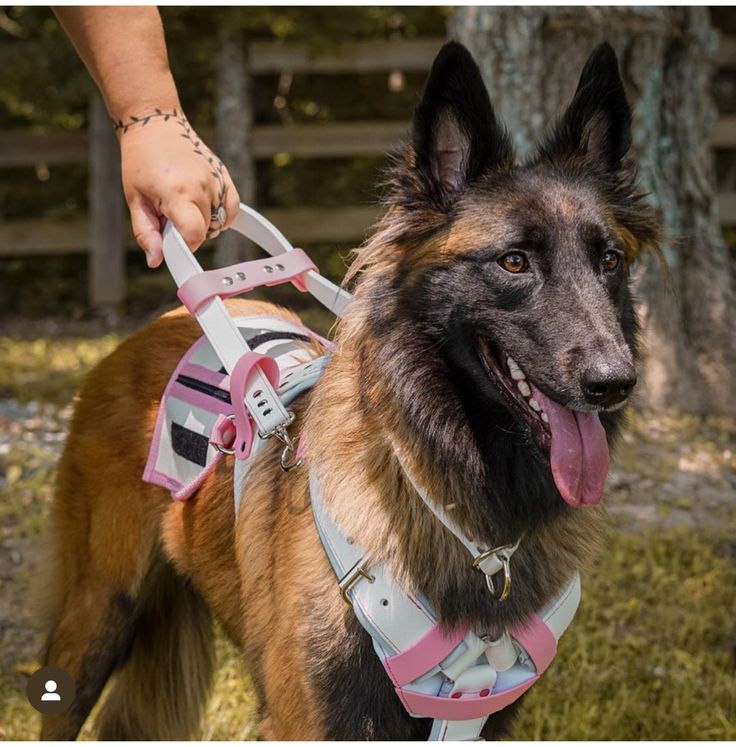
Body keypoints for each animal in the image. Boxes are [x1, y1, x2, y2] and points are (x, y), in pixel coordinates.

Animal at [38, 42, 660, 744]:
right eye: (514, 263)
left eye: (609, 262)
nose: (614, 383)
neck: (476, 528)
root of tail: (153, 326)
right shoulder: (311, 715)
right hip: (97, 617)